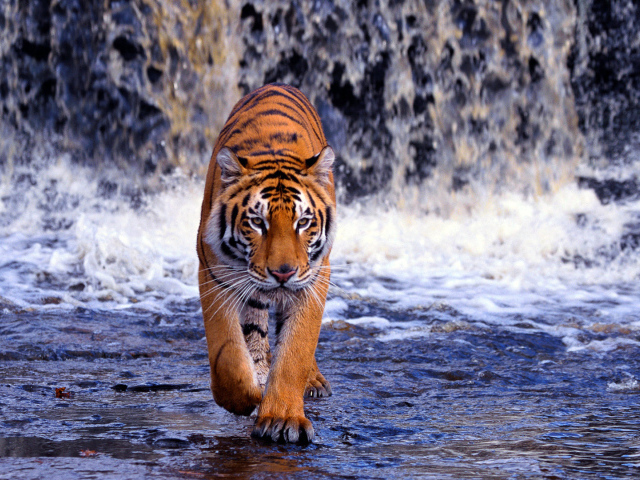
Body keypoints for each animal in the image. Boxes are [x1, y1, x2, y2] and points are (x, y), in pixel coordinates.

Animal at [196, 83, 336, 444]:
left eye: (303, 222)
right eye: (257, 222)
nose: (282, 273)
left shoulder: (313, 279)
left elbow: (296, 350)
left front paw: (282, 418)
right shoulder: (215, 274)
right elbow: (228, 354)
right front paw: (246, 397)